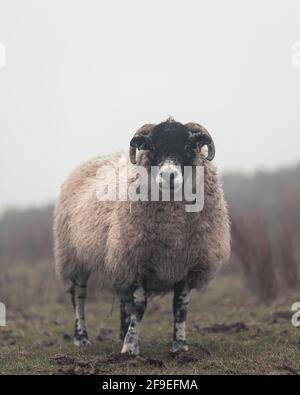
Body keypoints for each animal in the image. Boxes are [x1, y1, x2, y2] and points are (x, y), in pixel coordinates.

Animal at [54, 118, 231, 356]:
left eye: (188, 145)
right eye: (151, 146)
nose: (168, 175)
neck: (172, 230)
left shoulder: (186, 262)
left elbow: (180, 307)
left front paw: (179, 346)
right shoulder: (137, 260)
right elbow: (139, 306)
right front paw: (130, 348)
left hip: (117, 260)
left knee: (123, 300)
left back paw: (121, 333)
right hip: (74, 256)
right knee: (79, 298)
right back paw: (81, 338)